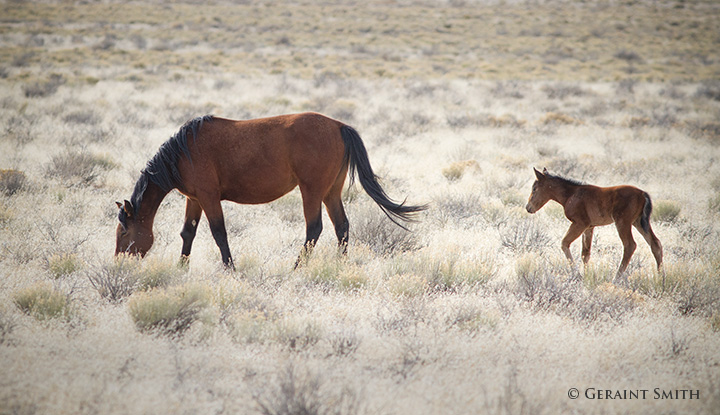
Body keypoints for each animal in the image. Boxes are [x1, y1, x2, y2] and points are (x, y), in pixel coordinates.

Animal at [114, 114, 424, 270]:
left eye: (123, 232)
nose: (119, 262)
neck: (183, 153)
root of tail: (339, 126)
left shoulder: (208, 197)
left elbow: (219, 233)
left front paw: (230, 269)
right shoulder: (195, 199)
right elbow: (188, 233)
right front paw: (181, 267)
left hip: (311, 191)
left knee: (314, 229)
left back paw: (296, 268)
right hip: (330, 192)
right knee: (342, 227)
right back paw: (340, 265)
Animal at [524, 168, 660, 282]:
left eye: (534, 188)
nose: (528, 208)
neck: (571, 194)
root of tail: (642, 194)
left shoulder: (579, 224)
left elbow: (564, 243)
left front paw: (577, 275)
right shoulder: (589, 227)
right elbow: (585, 254)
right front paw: (586, 276)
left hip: (623, 223)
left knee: (630, 245)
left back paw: (615, 279)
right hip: (639, 223)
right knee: (655, 244)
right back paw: (660, 278)